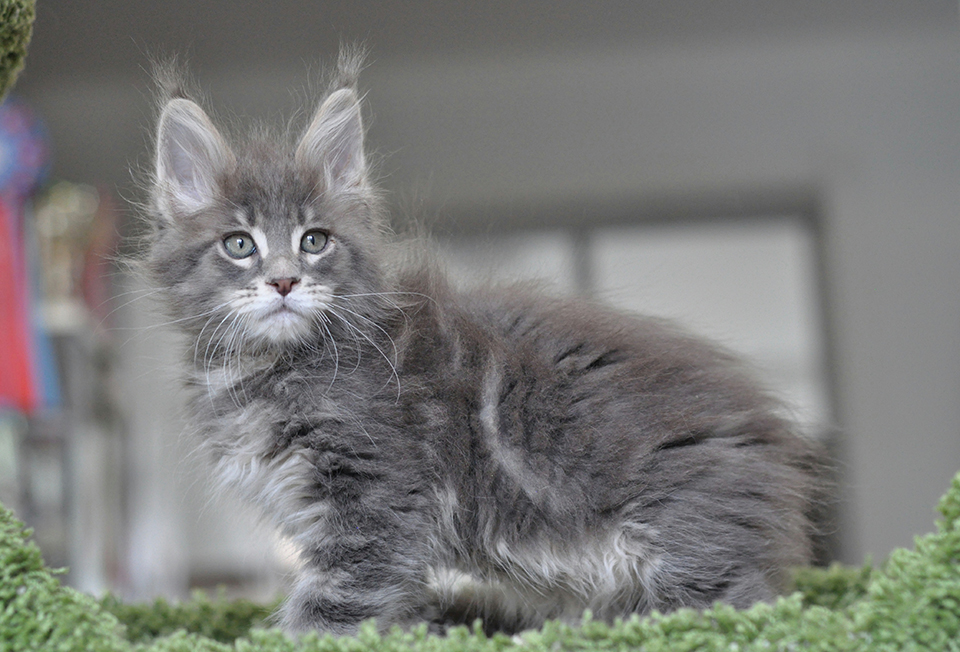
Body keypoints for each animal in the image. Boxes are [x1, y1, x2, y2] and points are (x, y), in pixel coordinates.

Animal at [144, 53, 824, 636]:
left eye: (314, 240)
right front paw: (421, 628)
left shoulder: (377, 497)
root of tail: (770, 445)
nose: (284, 280)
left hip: (689, 548)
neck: (267, 367)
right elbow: (392, 600)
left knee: (735, 608)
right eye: (239, 244)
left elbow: (333, 604)